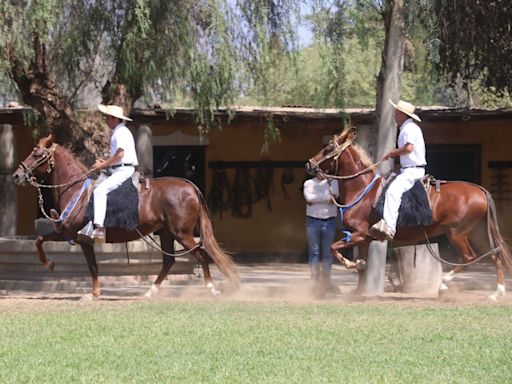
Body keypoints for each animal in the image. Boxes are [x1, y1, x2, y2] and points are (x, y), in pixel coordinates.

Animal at [12, 134, 240, 302]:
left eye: (37, 154)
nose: (16, 175)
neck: (77, 190)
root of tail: (190, 186)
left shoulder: (83, 238)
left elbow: (93, 266)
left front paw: (93, 294)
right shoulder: (66, 233)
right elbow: (39, 239)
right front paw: (49, 264)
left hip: (181, 233)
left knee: (201, 254)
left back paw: (211, 289)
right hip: (167, 233)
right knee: (169, 261)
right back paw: (150, 292)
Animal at [306, 127, 510, 300]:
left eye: (328, 148)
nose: (309, 164)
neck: (363, 190)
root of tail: (480, 191)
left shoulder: (359, 234)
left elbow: (333, 248)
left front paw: (350, 265)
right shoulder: (364, 239)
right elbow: (362, 265)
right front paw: (358, 291)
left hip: (456, 232)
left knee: (469, 257)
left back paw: (444, 284)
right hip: (478, 232)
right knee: (495, 255)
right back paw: (497, 293)